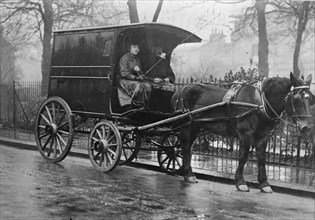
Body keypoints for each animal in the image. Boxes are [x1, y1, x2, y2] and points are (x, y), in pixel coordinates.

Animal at [172, 73, 314, 192]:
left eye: (311, 99)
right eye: (296, 99)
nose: (306, 126)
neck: (260, 104)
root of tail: (181, 90)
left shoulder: (263, 136)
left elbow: (261, 158)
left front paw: (264, 184)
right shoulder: (245, 135)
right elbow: (243, 157)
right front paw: (240, 182)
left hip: (195, 126)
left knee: (188, 148)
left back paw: (187, 172)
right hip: (186, 126)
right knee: (185, 146)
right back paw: (188, 174)